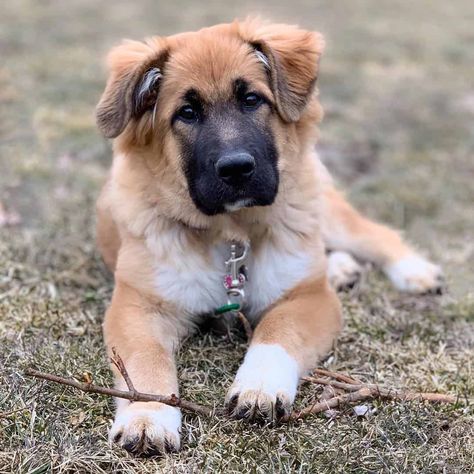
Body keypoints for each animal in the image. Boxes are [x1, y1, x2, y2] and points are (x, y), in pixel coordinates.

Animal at [94, 18, 442, 456]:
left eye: (251, 100)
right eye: (186, 113)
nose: (236, 168)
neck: (230, 233)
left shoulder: (308, 298)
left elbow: (278, 333)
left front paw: (259, 387)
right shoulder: (138, 306)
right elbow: (145, 361)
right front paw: (147, 417)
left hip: (324, 210)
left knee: (373, 235)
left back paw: (414, 271)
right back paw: (342, 269)